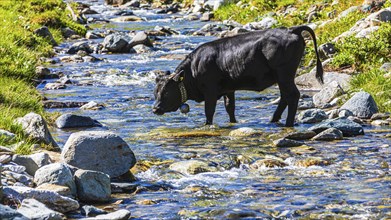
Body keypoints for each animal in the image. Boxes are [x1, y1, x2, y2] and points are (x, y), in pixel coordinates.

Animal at [153, 24, 324, 126]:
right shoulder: (228, 89)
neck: (193, 70)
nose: (155, 109)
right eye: (155, 92)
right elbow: (230, 108)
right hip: (281, 77)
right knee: (284, 97)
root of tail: (291, 29)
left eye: (166, 92)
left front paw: (207, 125)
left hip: (284, 73)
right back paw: (273, 120)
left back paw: (288, 123)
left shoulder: (210, 90)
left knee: (292, 95)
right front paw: (233, 123)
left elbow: (209, 111)